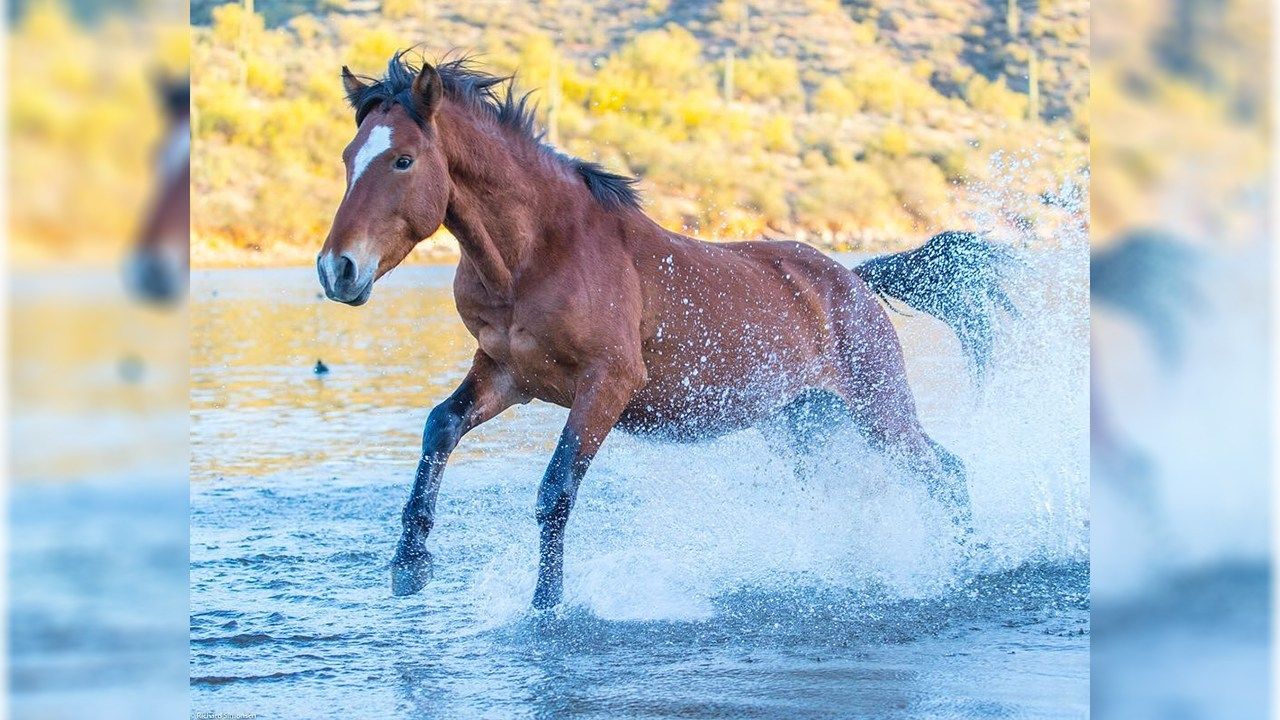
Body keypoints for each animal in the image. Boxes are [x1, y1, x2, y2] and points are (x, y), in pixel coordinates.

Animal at [317, 52, 1018, 609]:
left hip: (880, 409)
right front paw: (409, 566)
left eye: (404, 160)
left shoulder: (606, 385)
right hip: (809, 425)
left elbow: (555, 491)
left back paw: (965, 566)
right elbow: (440, 426)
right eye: (349, 156)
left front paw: (546, 605)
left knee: (945, 473)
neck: (539, 253)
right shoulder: (507, 374)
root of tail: (853, 279)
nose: (336, 269)